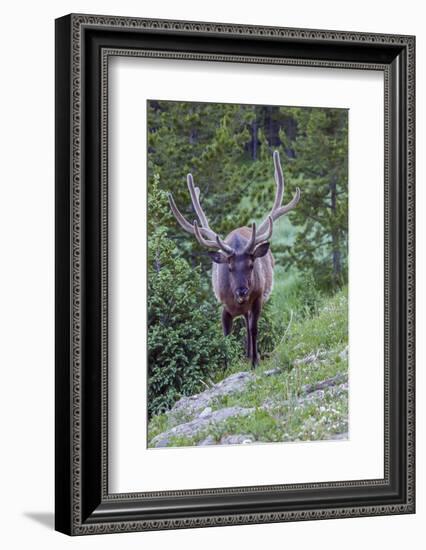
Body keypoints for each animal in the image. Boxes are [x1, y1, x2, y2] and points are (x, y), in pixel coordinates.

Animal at [167, 151, 300, 368]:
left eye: (251, 265)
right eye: (229, 268)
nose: (242, 291)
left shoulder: (258, 300)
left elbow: (253, 329)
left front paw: (255, 361)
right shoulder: (223, 306)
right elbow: (226, 336)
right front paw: (227, 364)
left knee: (248, 325)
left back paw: (250, 354)